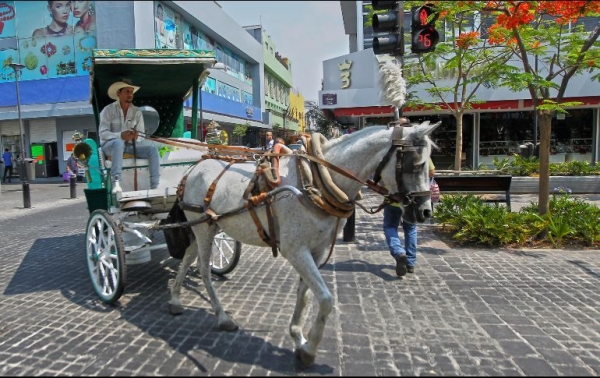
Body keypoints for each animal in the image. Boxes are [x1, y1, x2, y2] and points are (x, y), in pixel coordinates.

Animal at [169, 120, 440, 366]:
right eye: (416, 165)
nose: (425, 212)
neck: (317, 182)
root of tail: (194, 168)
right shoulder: (295, 250)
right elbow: (326, 299)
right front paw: (310, 348)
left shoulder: (316, 251)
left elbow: (306, 295)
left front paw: (298, 338)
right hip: (203, 228)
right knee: (203, 269)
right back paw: (222, 317)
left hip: (209, 226)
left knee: (189, 255)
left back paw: (175, 300)